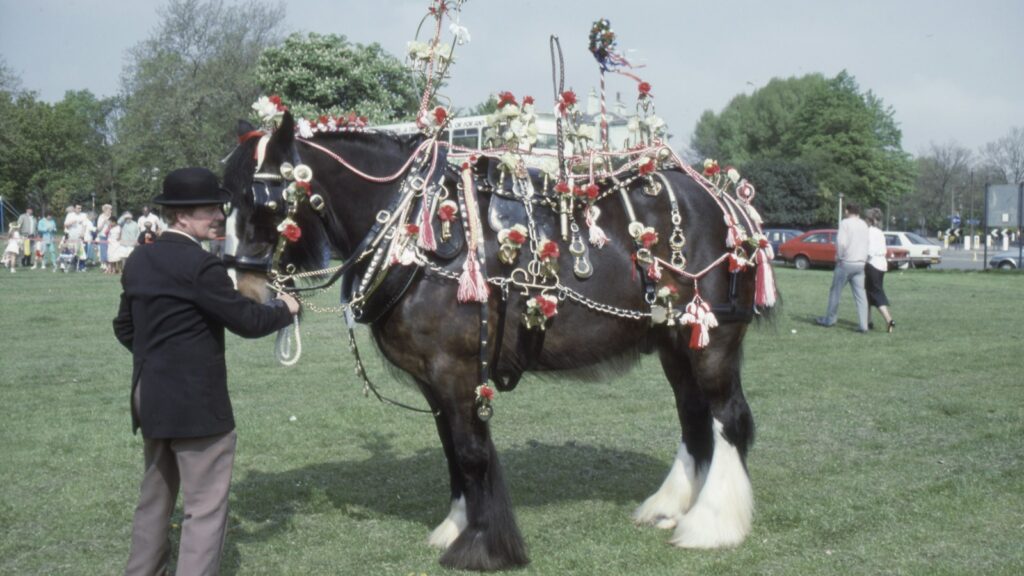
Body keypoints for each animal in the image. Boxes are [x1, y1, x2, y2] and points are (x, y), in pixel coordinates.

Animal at [222, 110, 775, 571]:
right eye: (224, 201)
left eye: (261, 201)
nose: (240, 288)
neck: (415, 229)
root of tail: (726, 202)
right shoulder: (435, 381)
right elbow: (453, 450)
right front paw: (456, 526)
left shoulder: (456, 368)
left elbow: (471, 452)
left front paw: (484, 546)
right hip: (675, 344)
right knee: (694, 418)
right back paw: (669, 507)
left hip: (712, 341)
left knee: (728, 418)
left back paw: (711, 524)